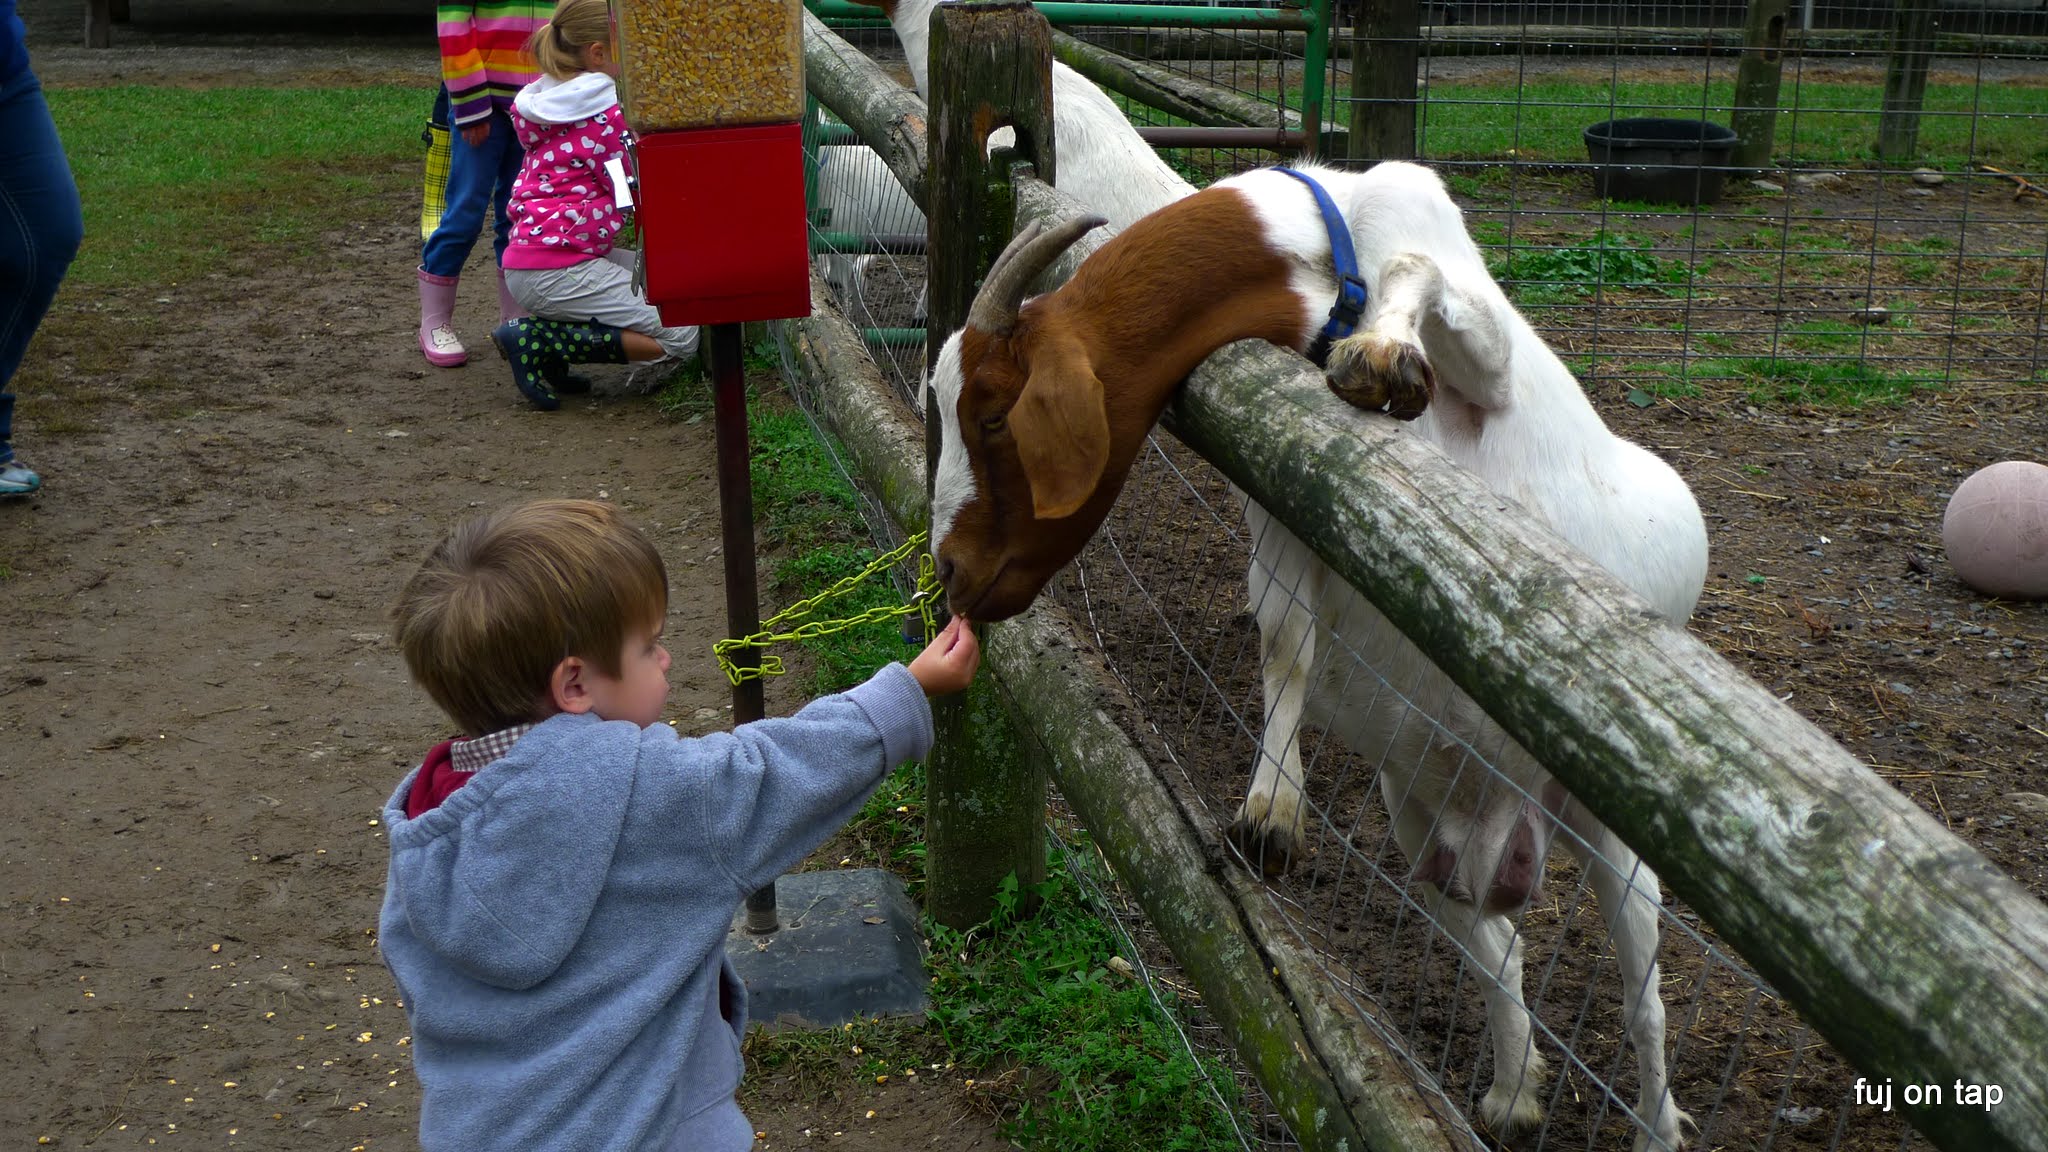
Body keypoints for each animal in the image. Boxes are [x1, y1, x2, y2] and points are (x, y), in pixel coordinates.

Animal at [926, 162, 1706, 1152]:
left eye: (992, 414)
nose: (949, 573)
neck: (1329, 255)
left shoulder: (1490, 363)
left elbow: (1426, 290)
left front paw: (1379, 358)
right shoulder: (1289, 499)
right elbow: (1286, 641)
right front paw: (1273, 809)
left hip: (1609, 827)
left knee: (1645, 1000)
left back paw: (1655, 1127)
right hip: (1424, 817)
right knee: (1499, 943)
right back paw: (1512, 1092)